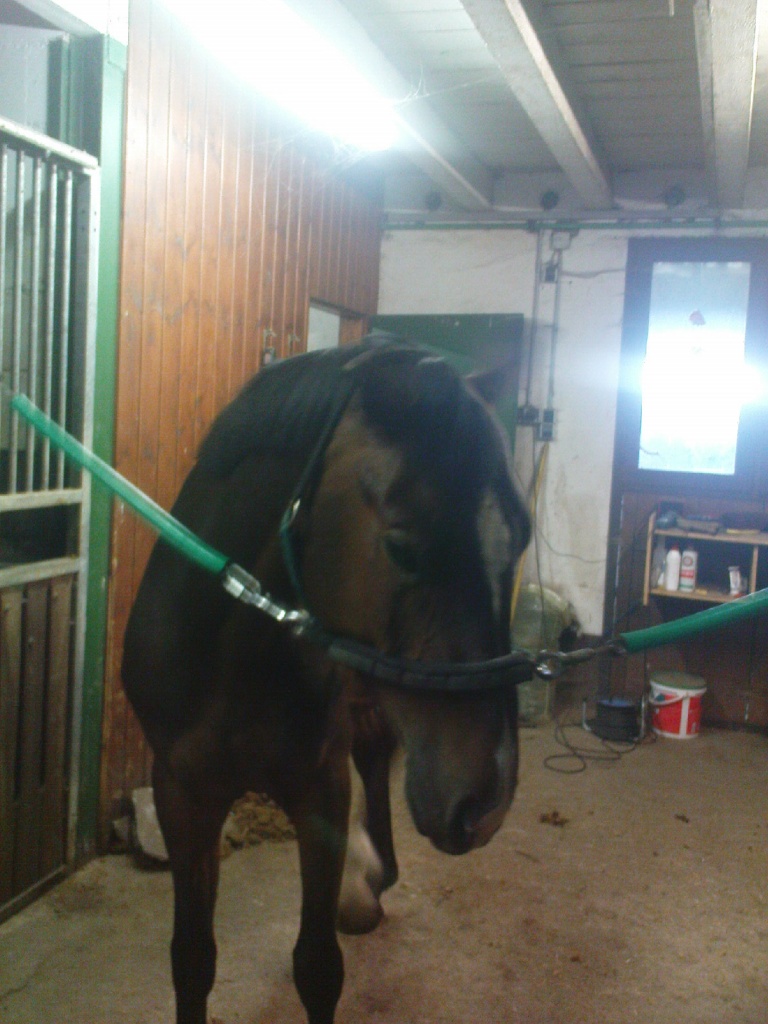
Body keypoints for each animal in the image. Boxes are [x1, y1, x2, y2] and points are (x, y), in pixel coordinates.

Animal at [122, 338, 531, 1024]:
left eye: (522, 536)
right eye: (401, 545)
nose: (487, 804)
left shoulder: (320, 790)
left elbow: (316, 967)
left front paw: (355, 883)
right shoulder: (182, 795)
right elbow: (192, 960)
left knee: (375, 757)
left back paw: (368, 882)